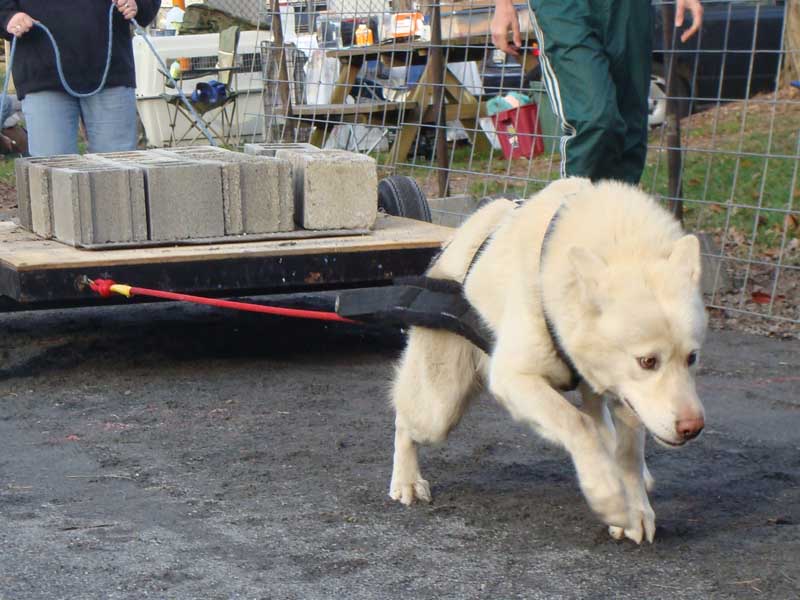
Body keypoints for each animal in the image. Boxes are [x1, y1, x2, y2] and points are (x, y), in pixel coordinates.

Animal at [388, 178, 708, 544]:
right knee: (404, 420)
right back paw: (406, 480)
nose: (692, 428)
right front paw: (610, 500)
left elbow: (626, 451)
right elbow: (578, 424)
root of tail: (454, 241)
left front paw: (636, 508)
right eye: (647, 361)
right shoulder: (514, 379)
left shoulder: (624, 397)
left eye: (692, 357)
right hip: (439, 409)